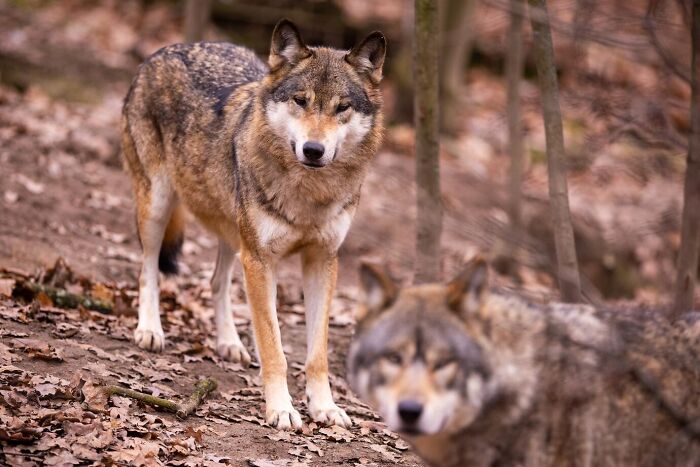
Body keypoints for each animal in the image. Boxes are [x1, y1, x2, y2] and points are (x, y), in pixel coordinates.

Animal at [121, 19, 385, 430]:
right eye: (300, 101)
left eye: (342, 107)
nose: (313, 150)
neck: (309, 195)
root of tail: (165, 49)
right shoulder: (261, 261)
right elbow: (274, 347)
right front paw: (281, 409)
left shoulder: (323, 261)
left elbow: (318, 353)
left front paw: (324, 407)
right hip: (158, 206)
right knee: (147, 268)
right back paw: (150, 329)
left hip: (234, 234)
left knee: (216, 282)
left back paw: (229, 343)